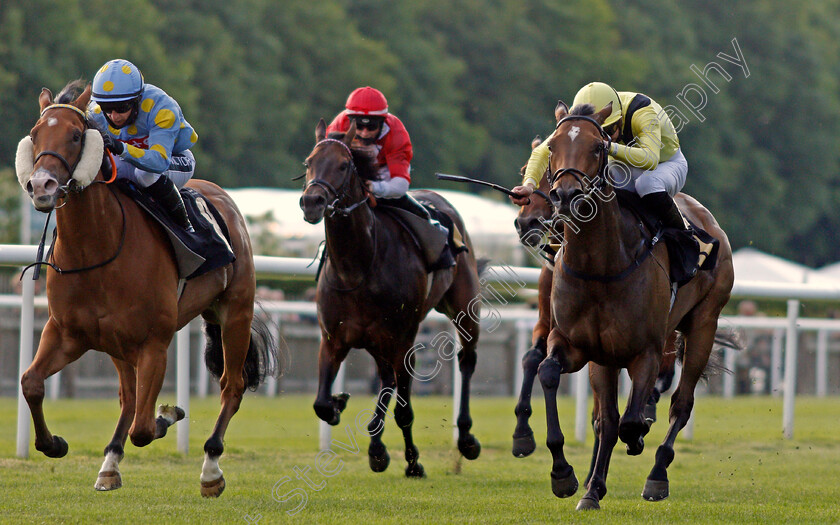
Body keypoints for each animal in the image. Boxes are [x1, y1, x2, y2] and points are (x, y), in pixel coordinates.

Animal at [16, 81, 278, 496]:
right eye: (36, 132)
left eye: (75, 135)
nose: (41, 185)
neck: (98, 248)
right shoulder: (67, 333)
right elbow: (32, 383)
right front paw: (54, 443)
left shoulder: (154, 343)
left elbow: (143, 428)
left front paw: (168, 413)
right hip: (119, 344)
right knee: (128, 398)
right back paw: (109, 465)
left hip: (235, 311)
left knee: (231, 386)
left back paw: (211, 469)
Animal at [300, 118, 486, 474]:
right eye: (308, 163)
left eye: (343, 165)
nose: (311, 202)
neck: (358, 268)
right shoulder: (333, 339)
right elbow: (320, 404)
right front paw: (340, 404)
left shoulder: (403, 339)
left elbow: (404, 410)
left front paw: (410, 462)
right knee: (386, 381)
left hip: (462, 308)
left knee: (467, 360)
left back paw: (467, 438)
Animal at [540, 101, 736, 508]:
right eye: (552, 146)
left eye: (597, 148)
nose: (565, 195)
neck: (600, 267)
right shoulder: (581, 347)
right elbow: (556, 379)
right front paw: (569, 479)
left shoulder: (644, 350)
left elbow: (629, 421)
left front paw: (638, 435)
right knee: (611, 416)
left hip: (703, 324)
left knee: (681, 403)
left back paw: (657, 474)